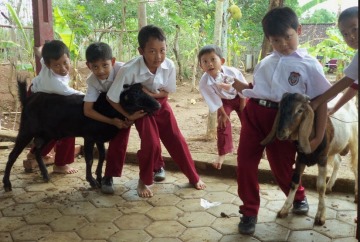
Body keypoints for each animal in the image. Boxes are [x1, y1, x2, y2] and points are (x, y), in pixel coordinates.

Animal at [3, 80, 160, 192]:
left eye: (144, 91)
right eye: (135, 95)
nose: (157, 105)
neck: (105, 108)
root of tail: (28, 99)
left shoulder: (99, 138)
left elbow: (103, 156)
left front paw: (99, 176)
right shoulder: (89, 137)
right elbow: (89, 159)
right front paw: (92, 181)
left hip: (47, 134)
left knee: (37, 150)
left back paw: (45, 175)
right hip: (26, 130)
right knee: (13, 155)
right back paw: (7, 183)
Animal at [262, 92, 358, 225]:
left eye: (300, 110)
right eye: (281, 107)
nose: (281, 132)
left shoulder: (322, 159)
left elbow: (320, 186)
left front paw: (320, 216)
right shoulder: (300, 158)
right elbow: (294, 182)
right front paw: (284, 209)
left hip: (354, 142)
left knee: (355, 167)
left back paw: (356, 194)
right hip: (334, 147)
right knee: (338, 161)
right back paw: (330, 186)